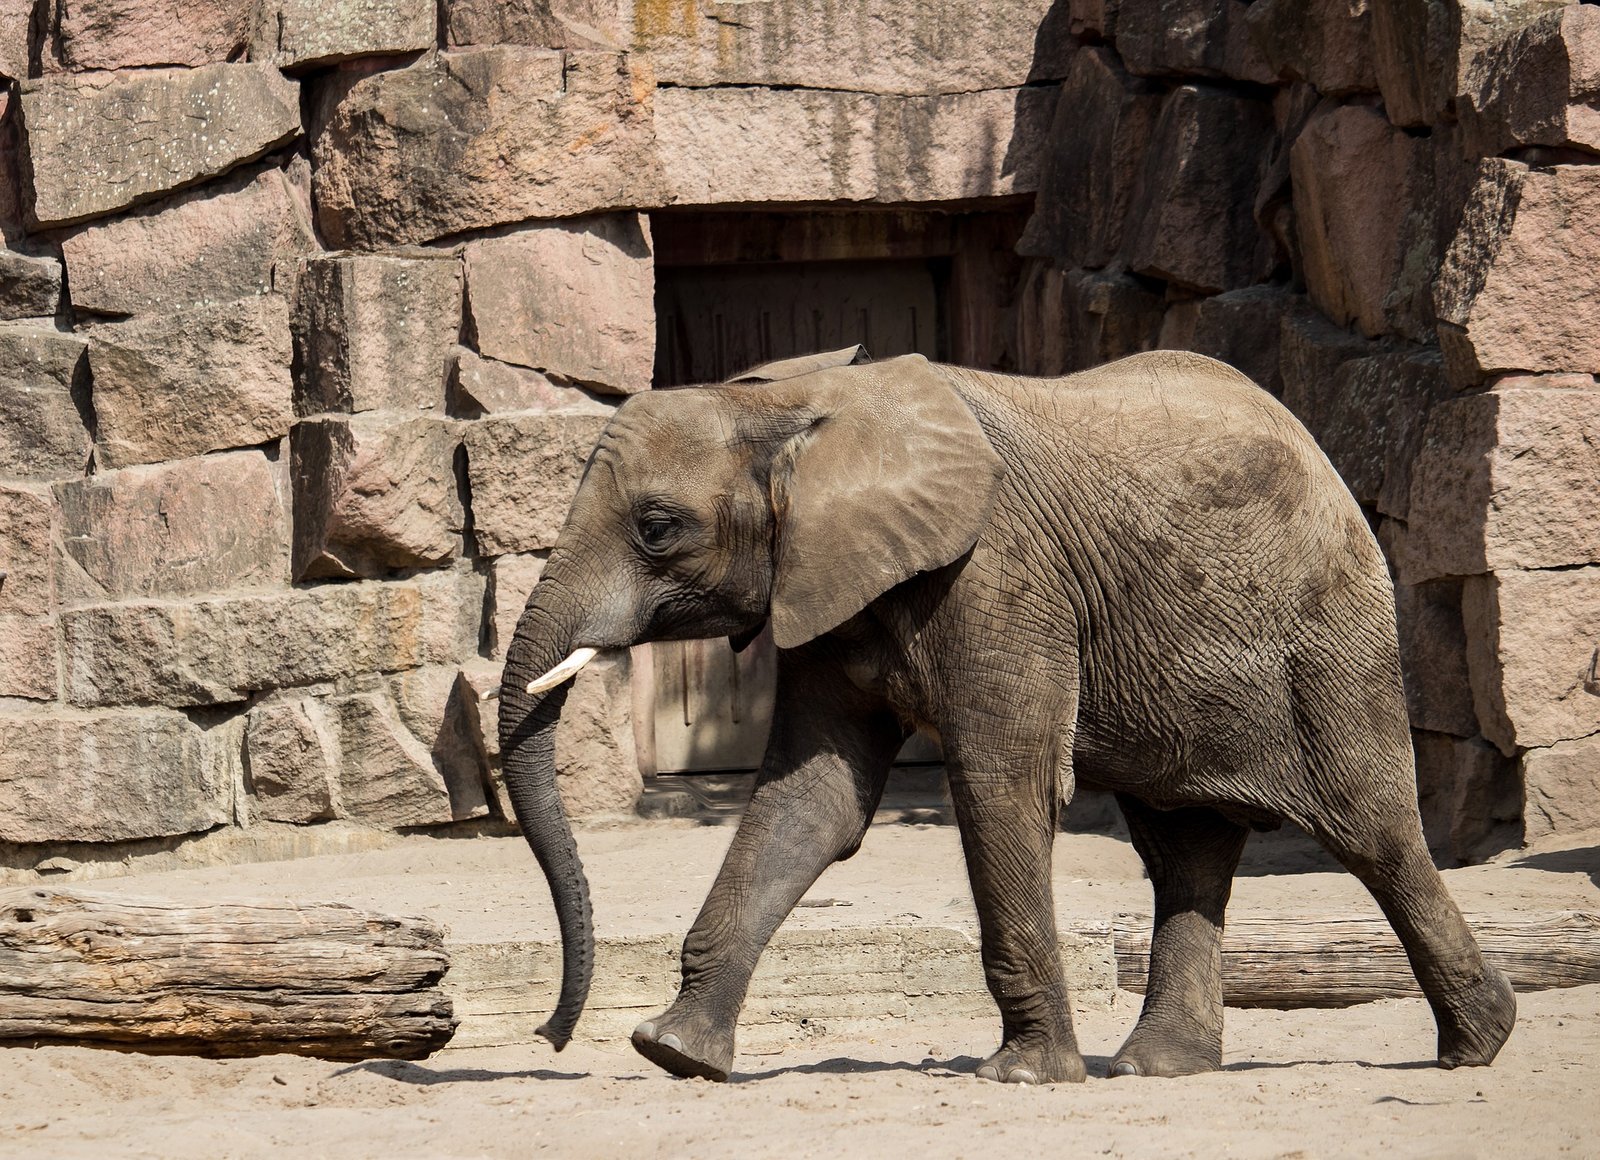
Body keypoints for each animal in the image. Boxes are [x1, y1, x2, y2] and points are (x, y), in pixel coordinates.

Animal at [496, 345, 1510, 1088]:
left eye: (656, 528)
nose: (550, 1038)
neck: (798, 403)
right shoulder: (827, 586)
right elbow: (813, 800)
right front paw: (673, 1054)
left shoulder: (998, 577)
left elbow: (1000, 785)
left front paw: (1023, 1078)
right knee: (1184, 848)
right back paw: (1158, 1069)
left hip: (1332, 633)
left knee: (1373, 832)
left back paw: (1480, 1044)